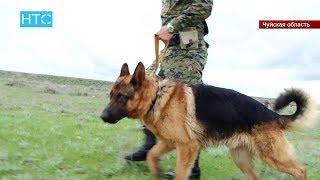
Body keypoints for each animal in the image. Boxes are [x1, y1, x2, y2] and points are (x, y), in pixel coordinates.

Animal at [100, 62, 318, 179]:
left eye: (121, 97)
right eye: (110, 95)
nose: (102, 117)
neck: (157, 97)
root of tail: (273, 115)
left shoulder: (188, 147)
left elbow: (180, 173)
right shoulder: (168, 143)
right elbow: (151, 155)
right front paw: (157, 172)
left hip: (273, 156)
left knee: (301, 170)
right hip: (241, 158)